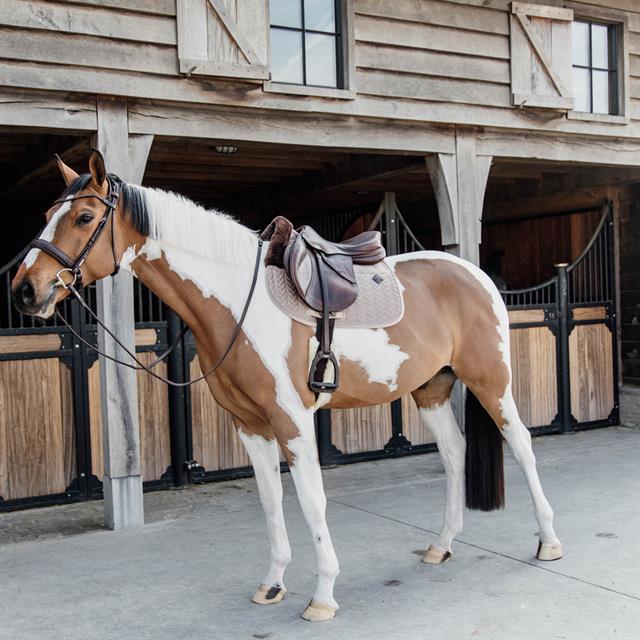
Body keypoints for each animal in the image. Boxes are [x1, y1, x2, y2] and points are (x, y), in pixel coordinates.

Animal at [8, 150, 560, 620]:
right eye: (47, 213)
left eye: (84, 218)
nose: (25, 290)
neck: (237, 300)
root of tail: (475, 273)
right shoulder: (250, 425)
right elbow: (271, 502)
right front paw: (272, 584)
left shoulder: (292, 421)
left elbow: (311, 501)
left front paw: (323, 597)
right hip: (431, 389)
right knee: (453, 453)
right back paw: (442, 545)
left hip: (491, 381)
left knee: (521, 444)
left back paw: (548, 541)